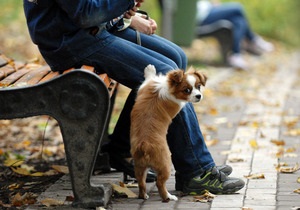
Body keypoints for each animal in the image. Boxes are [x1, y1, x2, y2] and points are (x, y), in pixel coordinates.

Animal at [130, 64, 207, 202]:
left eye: (198, 87)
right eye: (187, 90)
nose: (199, 96)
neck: (170, 89)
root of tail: (145, 145)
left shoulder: (144, 88)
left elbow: (147, 79)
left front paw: (150, 70)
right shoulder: (145, 87)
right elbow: (148, 78)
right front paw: (150, 69)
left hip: (141, 167)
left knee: (144, 182)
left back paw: (149, 196)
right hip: (162, 165)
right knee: (159, 183)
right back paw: (168, 197)